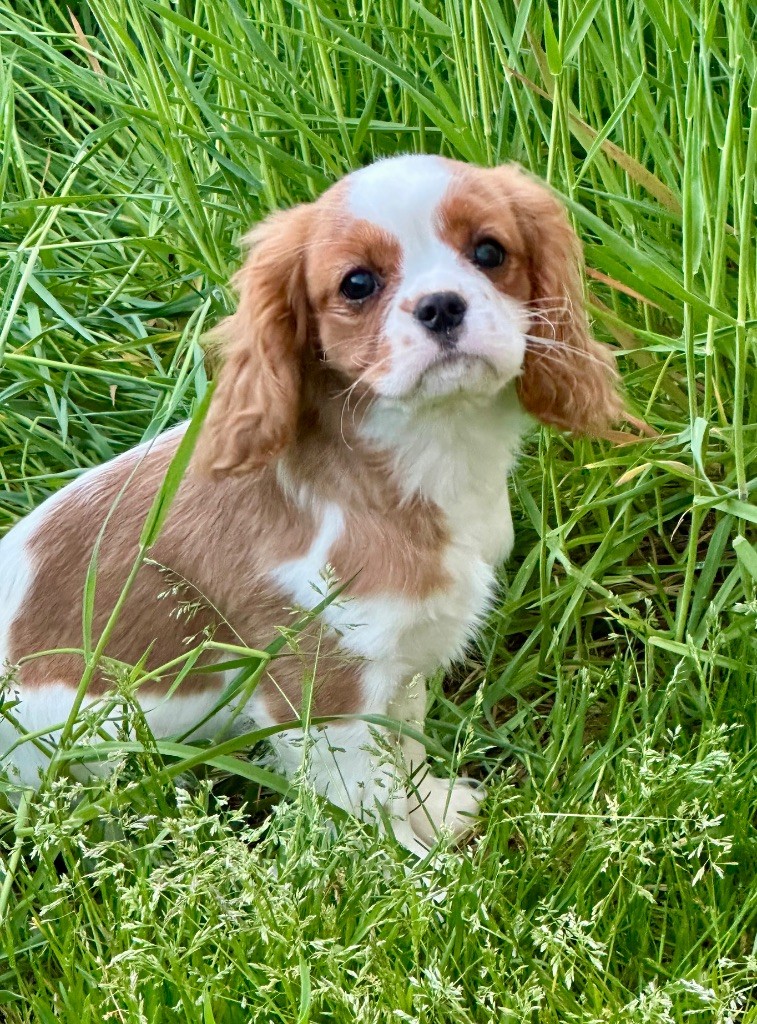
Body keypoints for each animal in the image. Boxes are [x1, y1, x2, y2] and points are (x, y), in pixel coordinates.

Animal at [0, 155, 623, 854]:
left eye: (490, 251)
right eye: (357, 283)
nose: (441, 305)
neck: (428, 445)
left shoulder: (401, 664)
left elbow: (404, 747)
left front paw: (434, 815)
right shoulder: (322, 684)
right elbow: (367, 791)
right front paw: (413, 868)